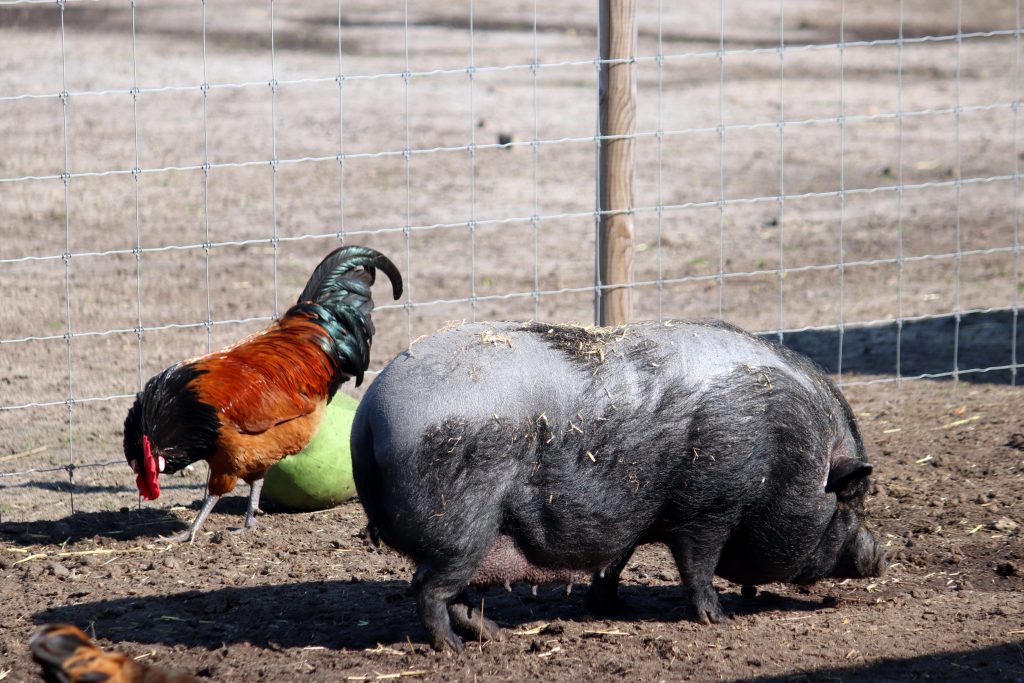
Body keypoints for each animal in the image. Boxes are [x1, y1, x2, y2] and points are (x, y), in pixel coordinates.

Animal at [350, 321, 880, 651]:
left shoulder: (633, 518)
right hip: (460, 528)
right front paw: (718, 620)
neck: (788, 451)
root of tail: (368, 415)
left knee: (454, 594)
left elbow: (615, 562)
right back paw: (455, 650)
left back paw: (495, 635)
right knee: (428, 589)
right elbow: (698, 567)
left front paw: (608, 606)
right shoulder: (709, 508)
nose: (881, 555)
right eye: (850, 501)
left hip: (469, 540)